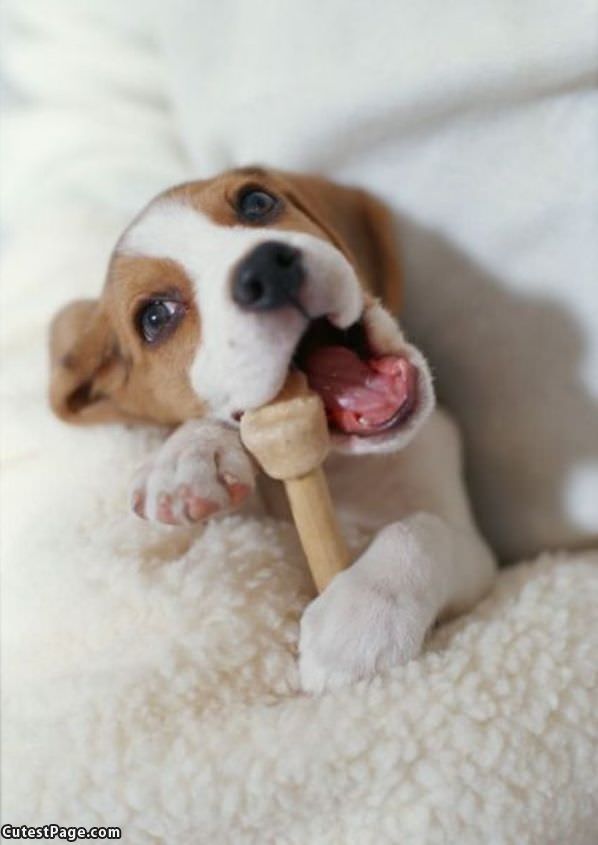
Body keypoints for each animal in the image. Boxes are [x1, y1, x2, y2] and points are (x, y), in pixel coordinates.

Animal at [49, 166, 496, 692]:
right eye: (156, 317)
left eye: (256, 202)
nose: (265, 270)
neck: (340, 469)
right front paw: (187, 456)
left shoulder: (480, 556)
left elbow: (421, 529)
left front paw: (362, 615)